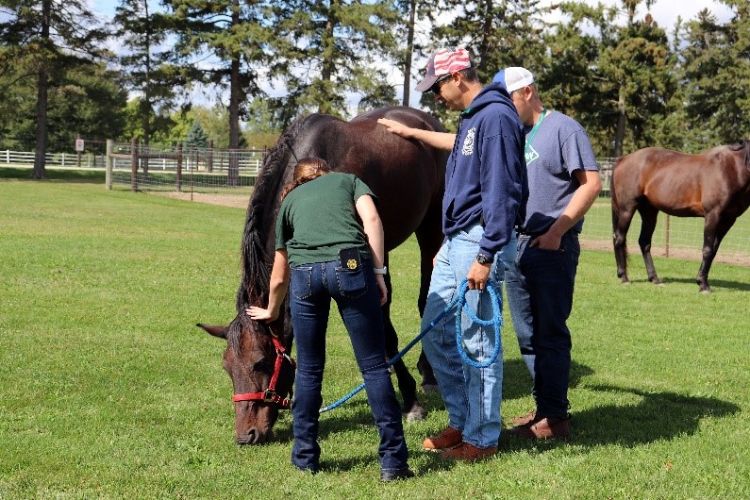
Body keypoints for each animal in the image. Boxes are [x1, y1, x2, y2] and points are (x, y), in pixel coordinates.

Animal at [611, 141, 750, 292]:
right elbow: (707, 249)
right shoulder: (713, 215)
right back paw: (624, 277)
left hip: (649, 212)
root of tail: (623, 159)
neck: (731, 169)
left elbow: (713, 250)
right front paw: (703, 285)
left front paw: (701, 281)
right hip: (627, 209)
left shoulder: (728, 220)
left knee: (644, 242)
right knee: (619, 238)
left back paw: (654, 279)